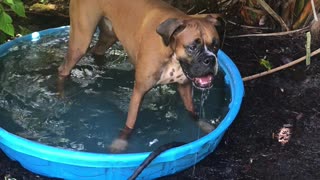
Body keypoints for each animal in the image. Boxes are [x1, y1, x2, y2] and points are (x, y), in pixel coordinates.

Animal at [58, 0, 220, 153]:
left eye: (215, 46)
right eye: (192, 47)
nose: (210, 59)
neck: (170, 49)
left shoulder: (184, 86)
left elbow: (192, 112)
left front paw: (204, 125)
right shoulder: (139, 91)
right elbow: (129, 124)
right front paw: (120, 143)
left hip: (108, 37)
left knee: (97, 51)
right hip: (80, 42)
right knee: (62, 70)